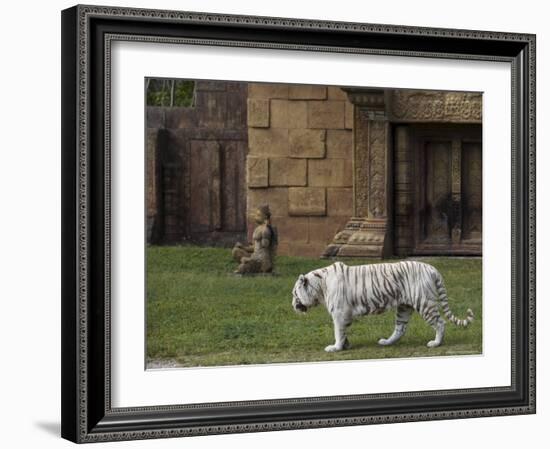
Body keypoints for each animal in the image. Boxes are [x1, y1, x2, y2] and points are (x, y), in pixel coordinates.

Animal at [292, 260, 476, 352]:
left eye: (294, 294)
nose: (292, 305)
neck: (320, 287)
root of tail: (431, 268)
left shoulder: (339, 312)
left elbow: (338, 331)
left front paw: (335, 348)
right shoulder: (344, 315)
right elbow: (343, 332)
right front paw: (345, 346)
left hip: (424, 303)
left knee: (440, 322)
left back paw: (436, 343)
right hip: (404, 307)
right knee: (400, 329)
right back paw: (386, 342)